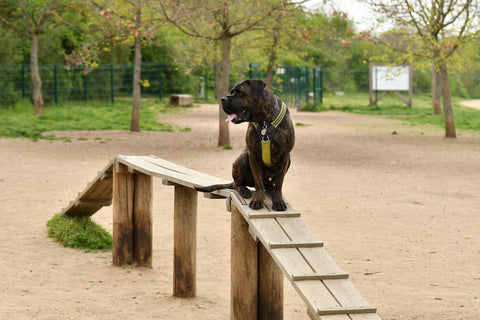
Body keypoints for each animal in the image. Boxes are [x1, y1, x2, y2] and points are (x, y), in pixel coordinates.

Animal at [196, 79, 294, 211]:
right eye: (232, 92)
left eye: (239, 93)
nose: (223, 99)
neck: (264, 121)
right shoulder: (252, 154)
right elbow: (258, 182)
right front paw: (258, 201)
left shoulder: (285, 155)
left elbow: (279, 182)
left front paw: (278, 201)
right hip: (243, 158)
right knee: (237, 183)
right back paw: (243, 189)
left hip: (288, 161)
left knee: (270, 184)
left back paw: (270, 189)